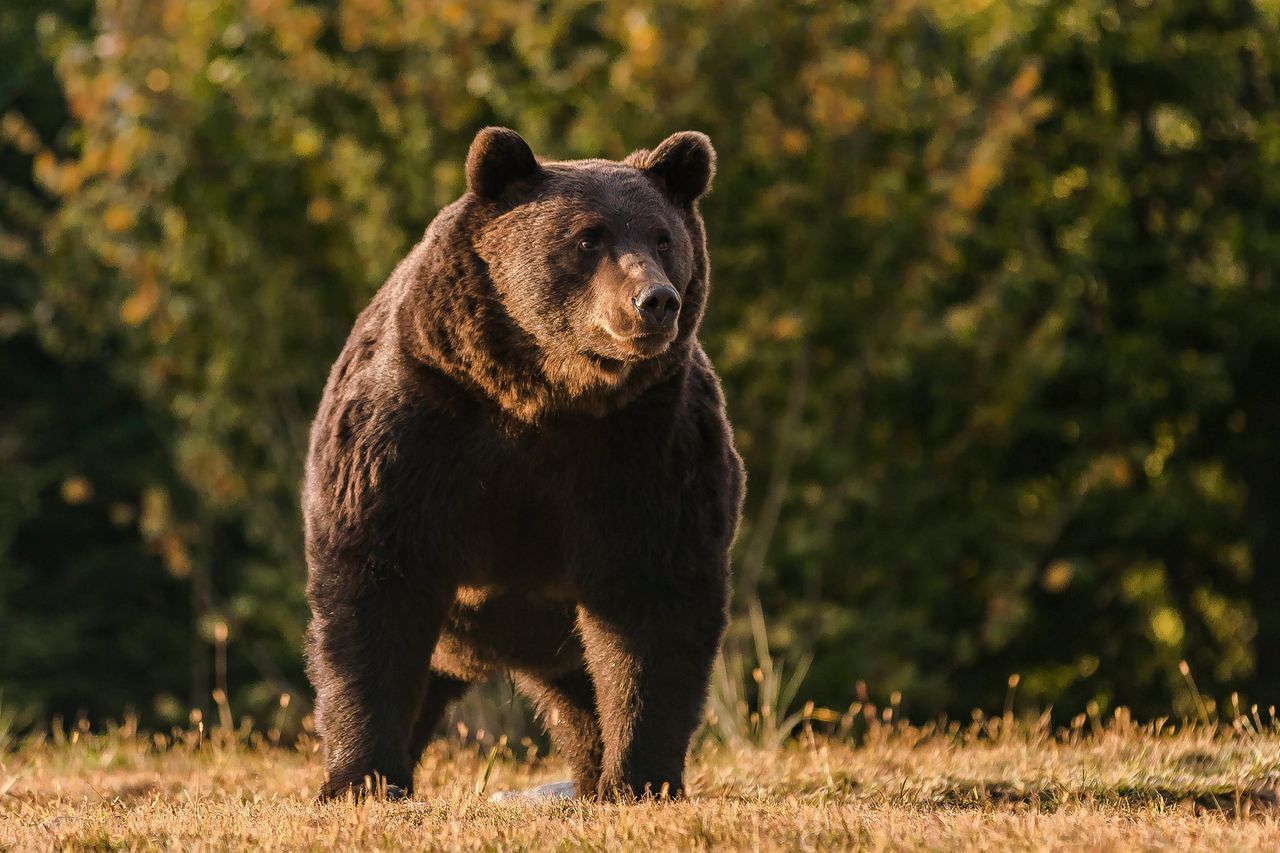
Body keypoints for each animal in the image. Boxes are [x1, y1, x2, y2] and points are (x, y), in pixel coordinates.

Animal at [303, 124, 747, 799]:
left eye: (663, 237)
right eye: (588, 236)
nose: (655, 301)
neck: (543, 395)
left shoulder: (648, 447)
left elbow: (653, 604)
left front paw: (640, 778)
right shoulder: (416, 427)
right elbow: (374, 587)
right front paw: (362, 778)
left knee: (584, 700)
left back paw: (592, 777)